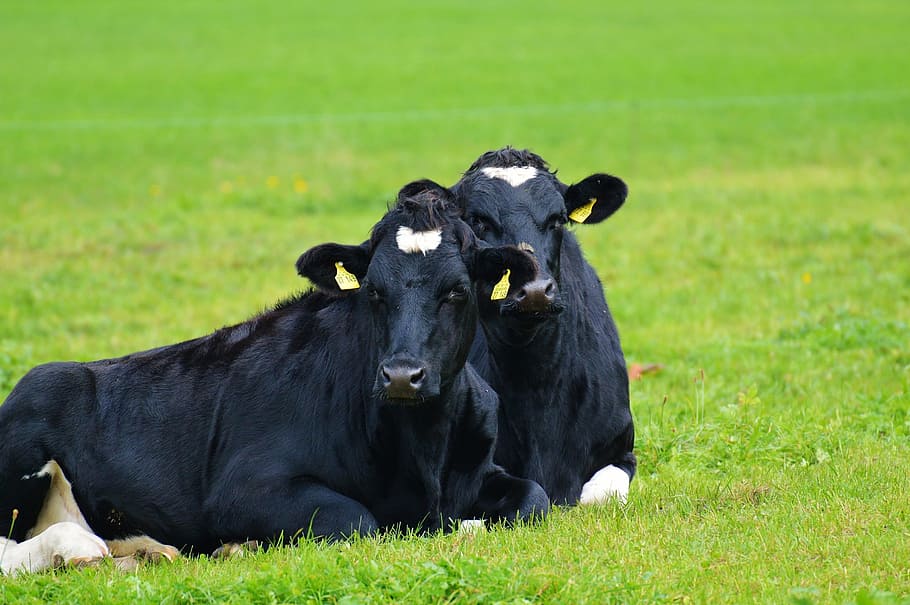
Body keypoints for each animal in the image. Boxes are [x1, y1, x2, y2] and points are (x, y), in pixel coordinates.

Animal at [0, 181, 548, 573]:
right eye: (373, 290)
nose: (400, 376)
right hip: (34, 412)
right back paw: (74, 548)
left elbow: (534, 499)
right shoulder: (244, 488)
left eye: (457, 290)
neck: (422, 453)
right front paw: (237, 547)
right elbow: (358, 520)